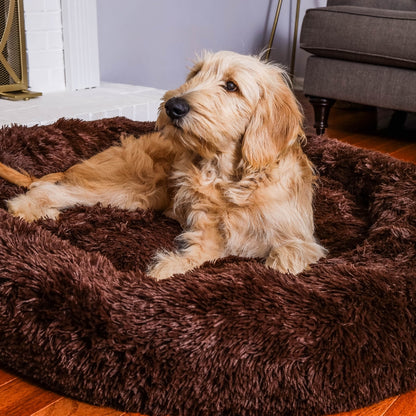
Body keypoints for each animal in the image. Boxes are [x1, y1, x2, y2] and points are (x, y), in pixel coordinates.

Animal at [0, 52, 326, 280]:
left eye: (232, 86)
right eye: (195, 73)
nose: (173, 106)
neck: (228, 177)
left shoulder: (300, 238)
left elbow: (286, 257)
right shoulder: (204, 229)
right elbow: (195, 254)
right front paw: (166, 269)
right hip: (127, 187)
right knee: (51, 189)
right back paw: (26, 209)